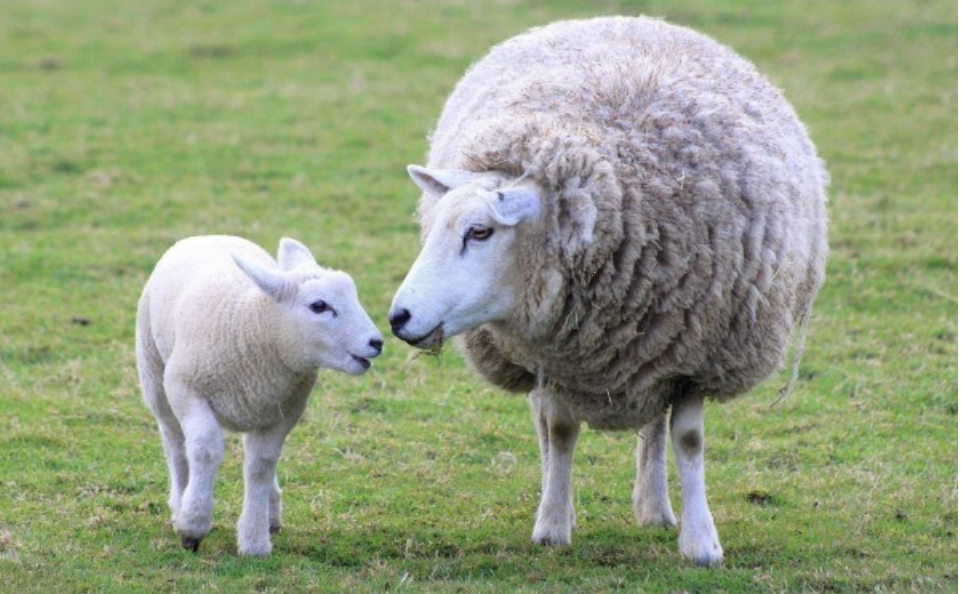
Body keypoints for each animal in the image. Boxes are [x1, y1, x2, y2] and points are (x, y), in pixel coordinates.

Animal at [136, 236, 382, 556]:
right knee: (176, 445)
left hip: (256, 405)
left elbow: (261, 466)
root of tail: (209, 235)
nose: (376, 342)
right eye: (319, 306)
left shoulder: (286, 410)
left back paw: (271, 512)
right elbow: (205, 449)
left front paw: (254, 540)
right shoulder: (186, 389)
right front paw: (193, 524)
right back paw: (180, 502)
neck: (252, 324)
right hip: (155, 374)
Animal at [388, 16, 824, 564]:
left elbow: (688, 439)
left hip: (660, 350)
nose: (399, 317)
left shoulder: (696, 354)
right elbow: (559, 430)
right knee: (546, 425)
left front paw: (701, 542)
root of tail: (628, 19)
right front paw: (553, 525)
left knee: (655, 425)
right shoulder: (557, 355)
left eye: (480, 232)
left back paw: (656, 509)